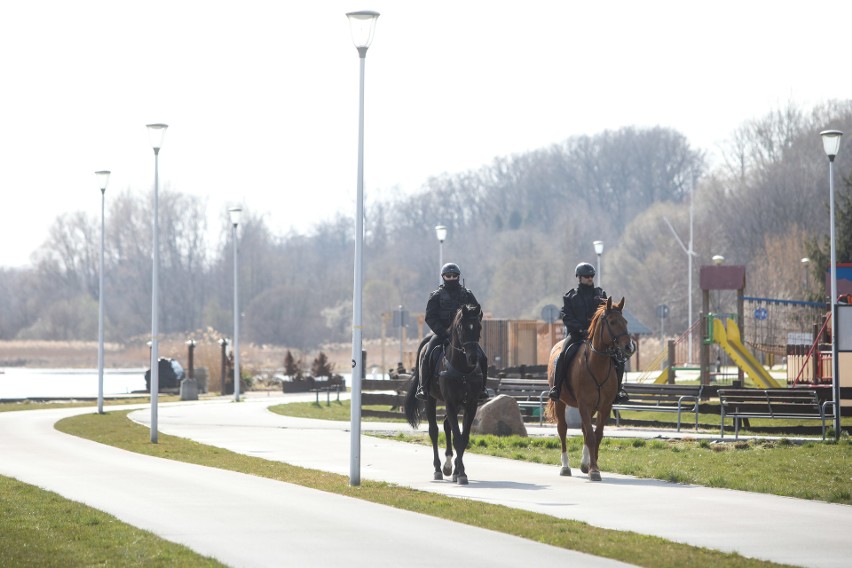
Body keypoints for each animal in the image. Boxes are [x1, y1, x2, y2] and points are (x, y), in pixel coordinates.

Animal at [404, 304, 482, 486]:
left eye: (479, 327)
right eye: (461, 327)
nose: (473, 358)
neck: (462, 369)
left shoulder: (471, 404)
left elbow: (463, 438)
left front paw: (459, 471)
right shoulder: (451, 402)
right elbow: (457, 438)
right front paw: (461, 473)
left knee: (447, 426)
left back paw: (449, 467)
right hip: (430, 400)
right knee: (434, 431)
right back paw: (439, 469)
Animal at [544, 296, 632, 482]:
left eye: (625, 321)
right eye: (612, 322)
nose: (629, 347)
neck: (596, 364)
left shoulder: (604, 406)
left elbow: (596, 435)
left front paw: (593, 465)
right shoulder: (584, 405)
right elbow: (590, 436)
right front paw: (594, 469)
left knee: (585, 430)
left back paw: (584, 464)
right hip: (560, 402)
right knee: (562, 429)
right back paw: (565, 466)